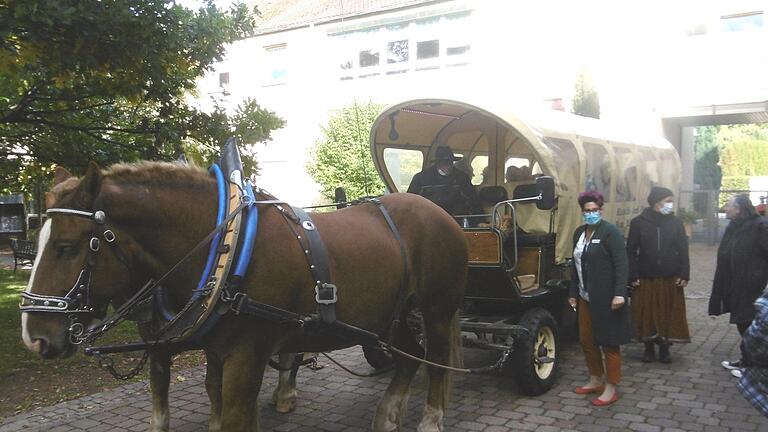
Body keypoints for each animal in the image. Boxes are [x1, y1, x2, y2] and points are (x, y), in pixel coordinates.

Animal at [21, 160, 468, 430]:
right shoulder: (213, 350)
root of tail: (441, 213)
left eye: (66, 247)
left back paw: (431, 419)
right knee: (409, 354)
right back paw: (388, 416)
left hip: (436, 308)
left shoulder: (247, 354)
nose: (34, 337)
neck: (227, 248)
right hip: (389, 315)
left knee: (435, 359)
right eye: (38, 240)